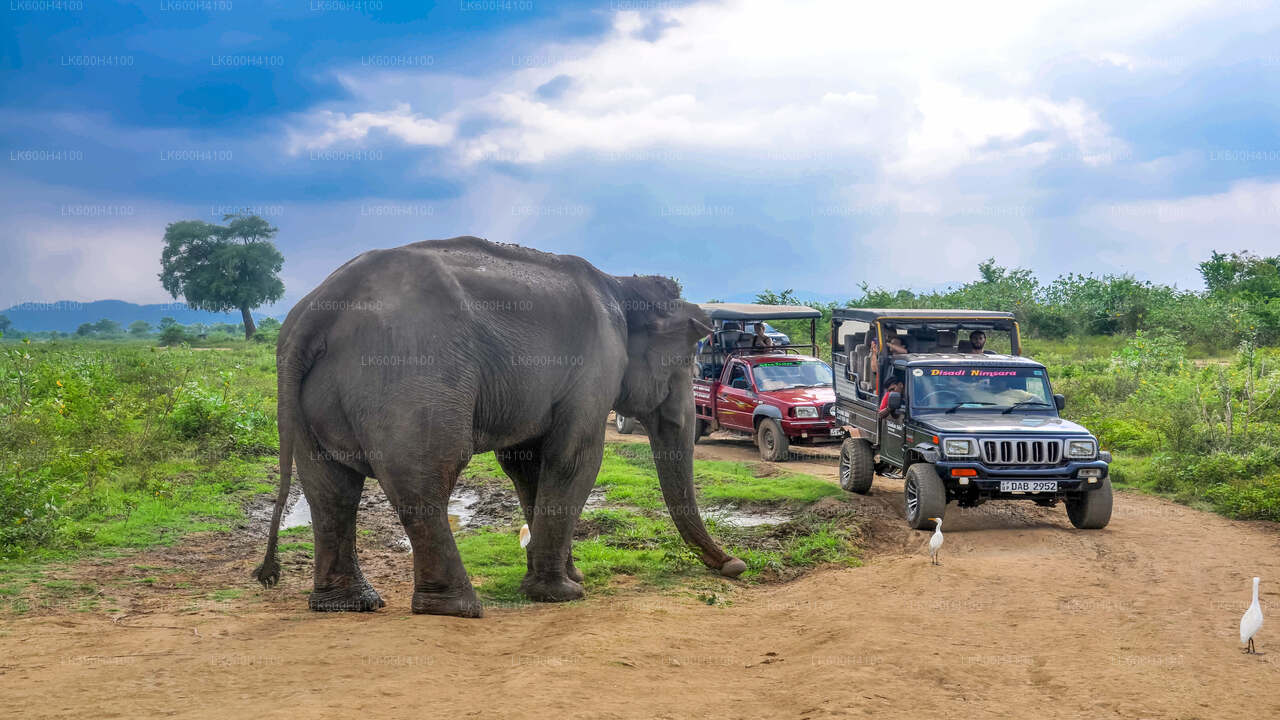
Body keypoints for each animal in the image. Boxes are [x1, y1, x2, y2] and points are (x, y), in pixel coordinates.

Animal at [252, 237, 747, 617]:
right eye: (685, 364)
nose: (735, 566)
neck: (622, 284)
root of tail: (313, 311)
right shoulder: (594, 368)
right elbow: (575, 459)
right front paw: (563, 593)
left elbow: (527, 466)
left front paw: (567, 577)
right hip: (412, 378)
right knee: (423, 477)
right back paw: (457, 607)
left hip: (312, 401)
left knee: (330, 489)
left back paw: (349, 604)